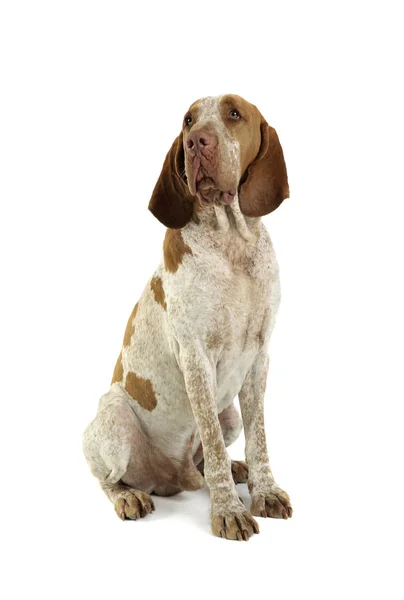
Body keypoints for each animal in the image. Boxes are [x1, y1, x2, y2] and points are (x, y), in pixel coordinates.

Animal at [83, 94, 294, 540]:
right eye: (188, 120)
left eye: (234, 114)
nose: (197, 142)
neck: (231, 244)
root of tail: (168, 478)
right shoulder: (196, 359)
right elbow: (211, 445)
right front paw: (229, 511)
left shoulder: (260, 357)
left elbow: (259, 439)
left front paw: (264, 491)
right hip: (114, 413)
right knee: (108, 478)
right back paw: (130, 496)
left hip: (229, 413)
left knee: (207, 456)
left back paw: (235, 467)